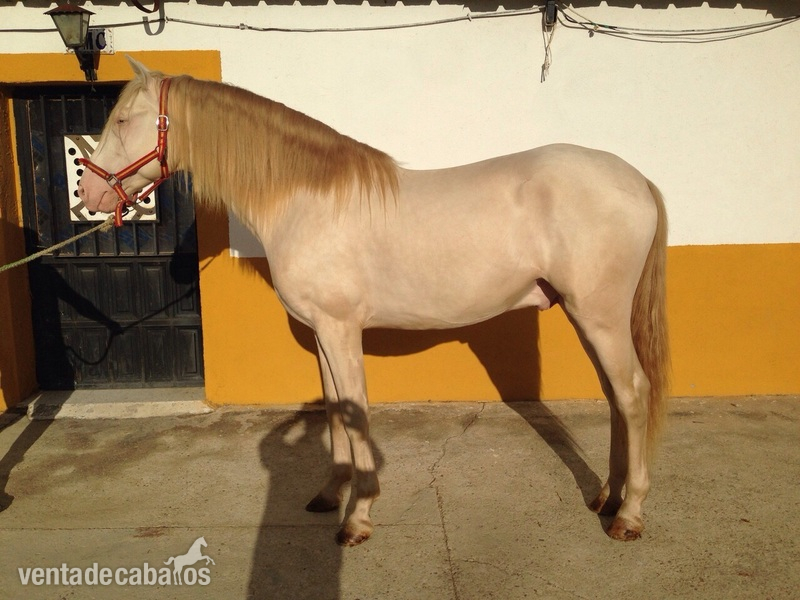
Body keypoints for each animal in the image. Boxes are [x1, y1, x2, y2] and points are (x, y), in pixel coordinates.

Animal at [78, 57, 669, 545]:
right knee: (616, 397)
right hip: (588, 316)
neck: (306, 200)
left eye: (124, 120)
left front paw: (358, 516)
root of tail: (637, 178)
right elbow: (335, 409)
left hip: (600, 317)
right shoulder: (322, 332)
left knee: (633, 394)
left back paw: (629, 514)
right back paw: (607, 496)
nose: (90, 195)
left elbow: (357, 410)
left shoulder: (341, 328)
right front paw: (330, 494)